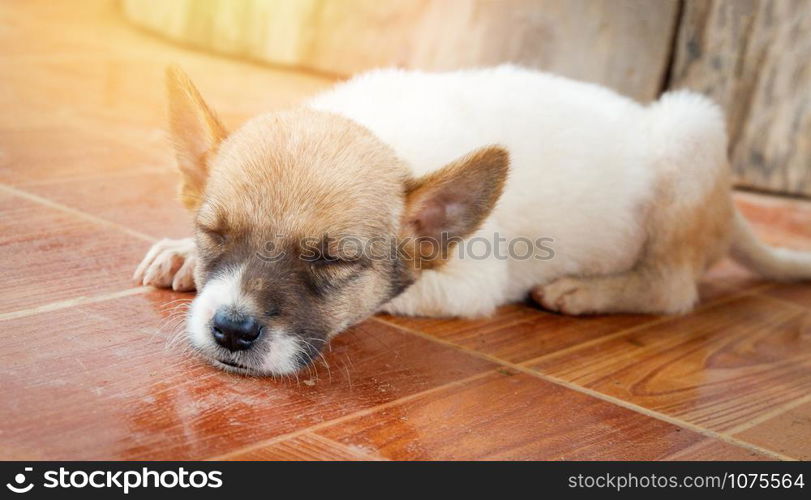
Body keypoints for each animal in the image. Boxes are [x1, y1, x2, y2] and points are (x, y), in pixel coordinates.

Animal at [135, 65, 811, 376]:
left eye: (333, 260)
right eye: (214, 233)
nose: (231, 330)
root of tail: (730, 210)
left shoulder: (468, 283)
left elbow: (393, 296)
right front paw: (179, 254)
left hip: (687, 135)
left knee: (673, 288)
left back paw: (584, 291)